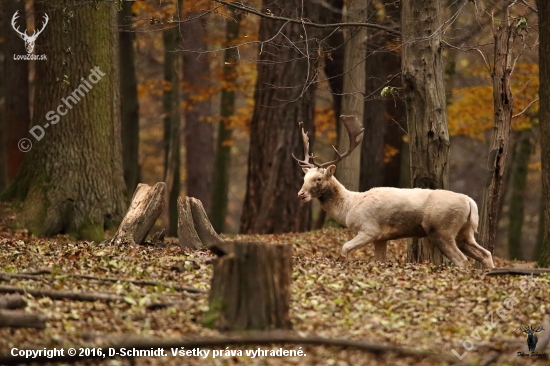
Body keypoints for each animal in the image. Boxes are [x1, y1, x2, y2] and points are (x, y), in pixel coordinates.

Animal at [296, 116, 498, 270]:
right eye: (304, 178)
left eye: (318, 179)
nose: (301, 194)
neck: (349, 208)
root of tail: (470, 202)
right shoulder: (381, 238)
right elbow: (379, 261)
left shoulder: (369, 229)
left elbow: (344, 248)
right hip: (465, 232)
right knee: (485, 253)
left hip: (442, 229)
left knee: (462, 260)